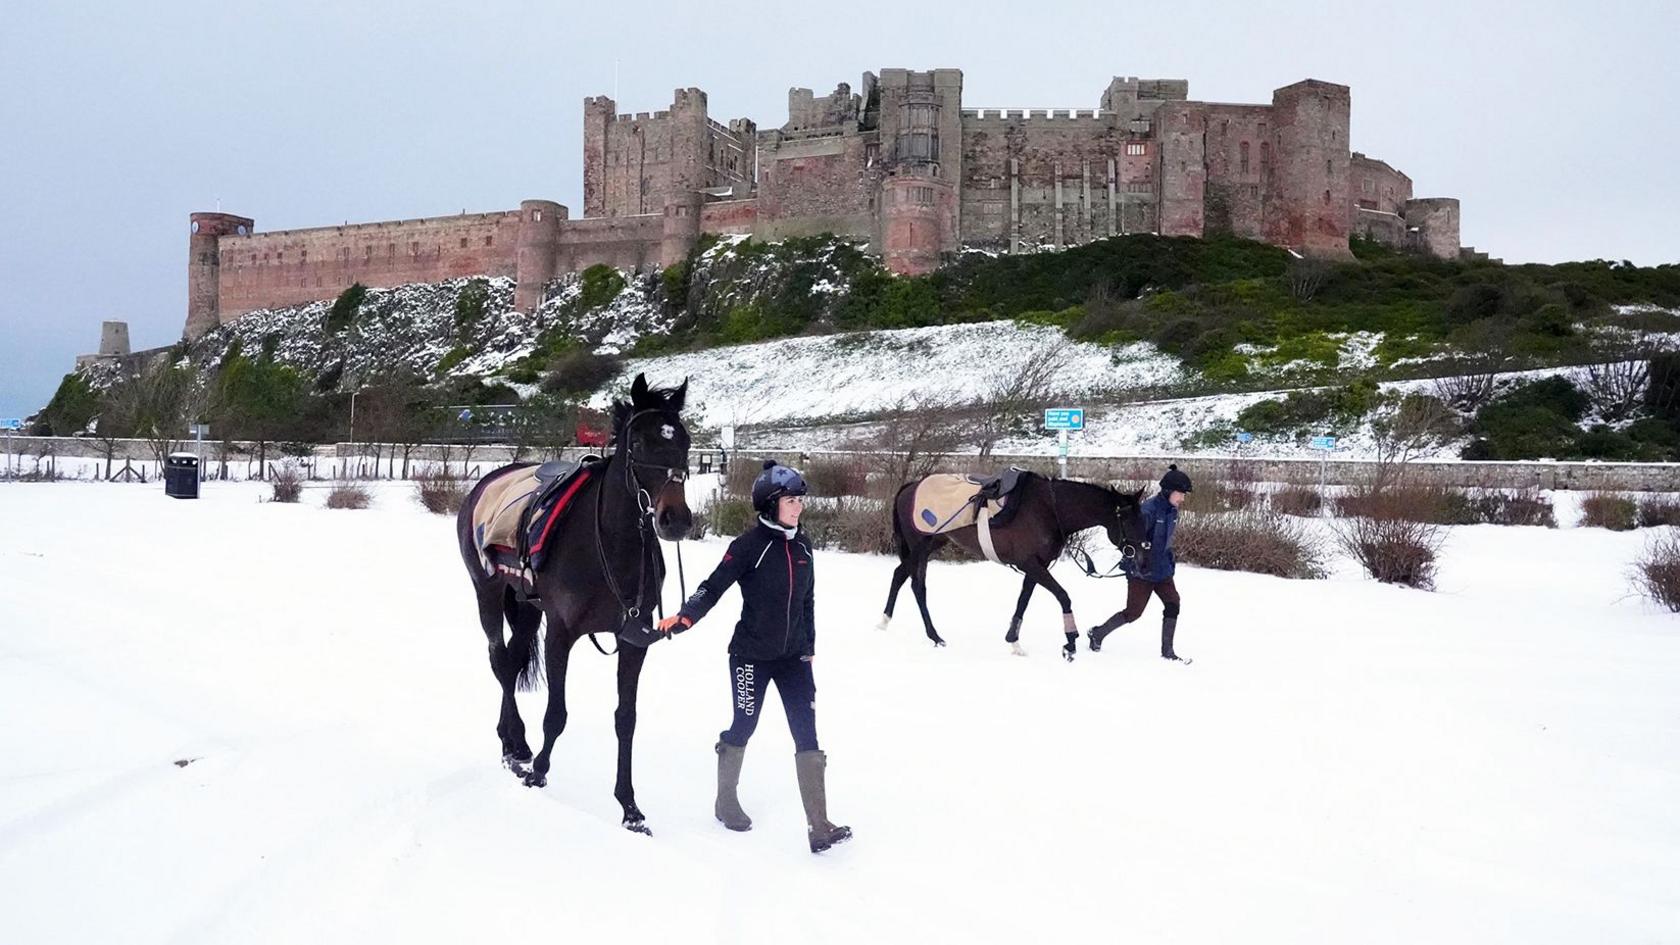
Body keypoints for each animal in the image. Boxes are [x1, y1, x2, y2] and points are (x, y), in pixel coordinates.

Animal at [455, 374, 692, 835]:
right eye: (640, 442)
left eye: (685, 441)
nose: (676, 519)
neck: (609, 545)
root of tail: (485, 483)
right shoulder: (561, 633)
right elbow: (556, 713)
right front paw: (539, 774)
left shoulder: (634, 641)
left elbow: (625, 719)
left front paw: (629, 807)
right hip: (487, 593)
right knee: (500, 662)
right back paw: (515, 746)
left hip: (527, 607)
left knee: (512, 659)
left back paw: (514, 742)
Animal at [879, 472, 1147, 660]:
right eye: (1129, 521)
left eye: (1143, 519)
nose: (1143, 557)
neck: (1049, 509)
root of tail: (910, 487)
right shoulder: (1031, 563)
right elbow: (1063, 595)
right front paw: (1070, 642)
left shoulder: (1036, 565)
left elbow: (1023, 600)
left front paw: (1013, 641)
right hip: (920, 546)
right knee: (909, 580)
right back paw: (911, 629)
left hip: (931, 543)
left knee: (908, 580)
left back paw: (906, 627)